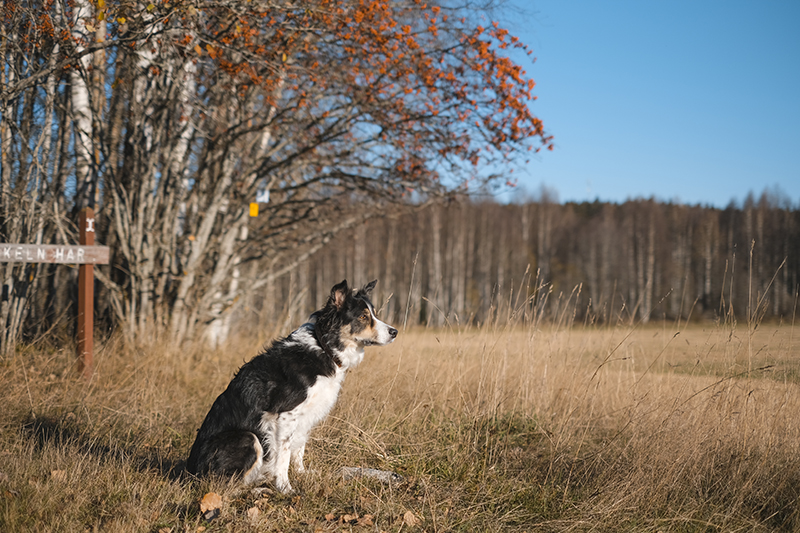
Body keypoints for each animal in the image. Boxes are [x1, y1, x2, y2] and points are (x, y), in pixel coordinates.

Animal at [188, 280, 400, 492]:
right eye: (363, 317)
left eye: (374, 314)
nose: (394, 332)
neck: (324, 347)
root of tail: (191, 472)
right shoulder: (285, 414)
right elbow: (283, 455)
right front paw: (285, 488)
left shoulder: (307, 415)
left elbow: (299, 449)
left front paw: (302, 473)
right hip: (247, 437)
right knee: (225, 487)